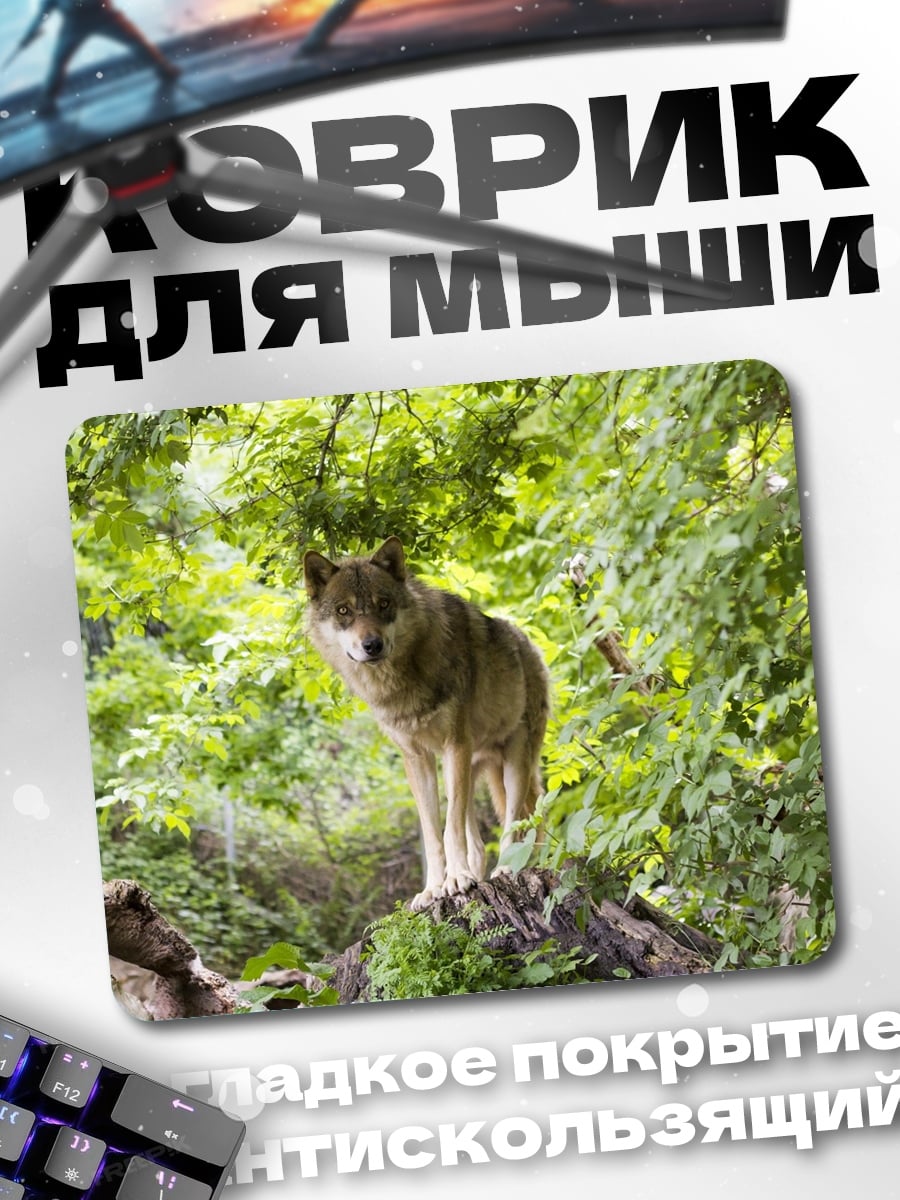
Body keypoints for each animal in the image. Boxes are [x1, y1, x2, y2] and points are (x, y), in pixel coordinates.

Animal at [303, 537, 550, 910]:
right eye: (344, 611)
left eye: (384, 604)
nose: (372, 645)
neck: (402, 681)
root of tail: (530, 644)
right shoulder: (417, 758)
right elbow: (434, 833)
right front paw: (434, 888)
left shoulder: (454, 746)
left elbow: (450, 830)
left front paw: (456, 879)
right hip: (473, 769)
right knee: (479, 842)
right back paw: (476, 874)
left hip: (513, 763)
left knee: (516, 821)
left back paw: (505, 870)